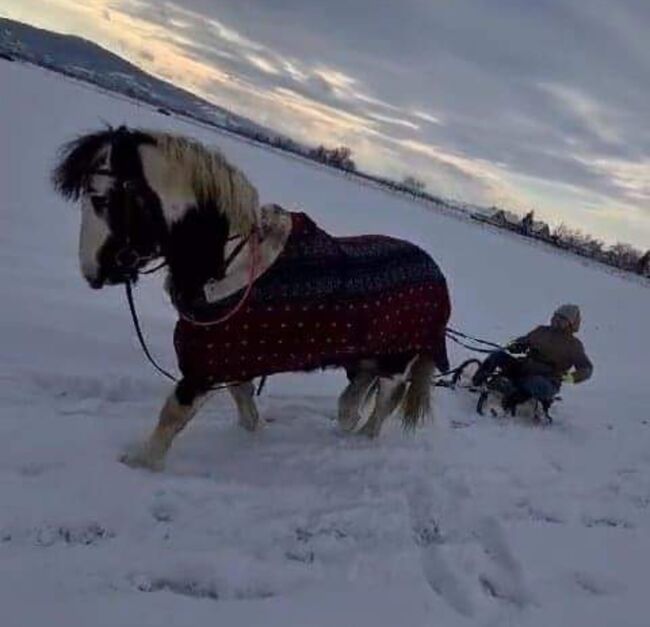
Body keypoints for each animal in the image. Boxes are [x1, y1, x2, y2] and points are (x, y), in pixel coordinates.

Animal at [52, 126, 450, 472]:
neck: (230, 265)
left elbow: (174, 413)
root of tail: (435, 271)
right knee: (356, 394)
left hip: (396, 360)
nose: (91, 272)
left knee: (384, 401)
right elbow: (243, 400)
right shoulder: (232, 358)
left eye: (100, 199)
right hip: (367, 355)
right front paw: (255, 435)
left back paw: (362, 440)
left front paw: (143, 463)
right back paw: (347, 424)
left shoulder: (207, 364)